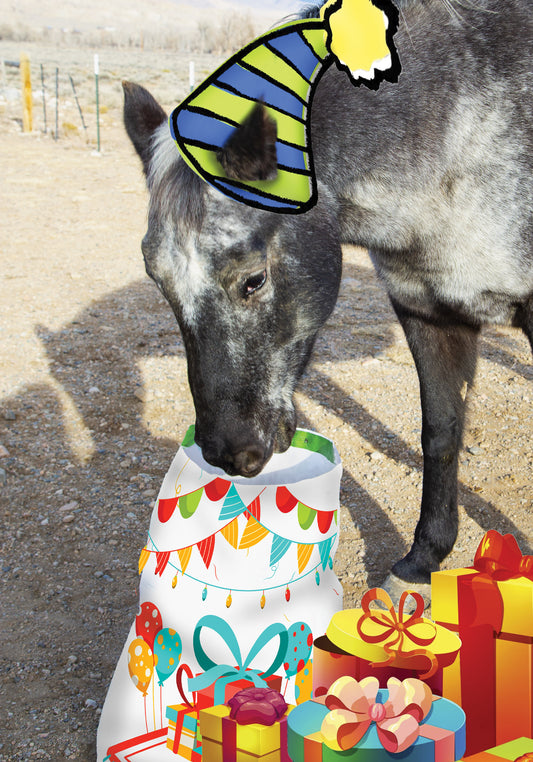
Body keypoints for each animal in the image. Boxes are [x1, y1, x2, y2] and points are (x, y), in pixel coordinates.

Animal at [122, 0, 532, 592]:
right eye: (158, 281)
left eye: (253, 280)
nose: (228, 453)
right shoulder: (427, 311)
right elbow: (441, 433)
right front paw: (421, 563)